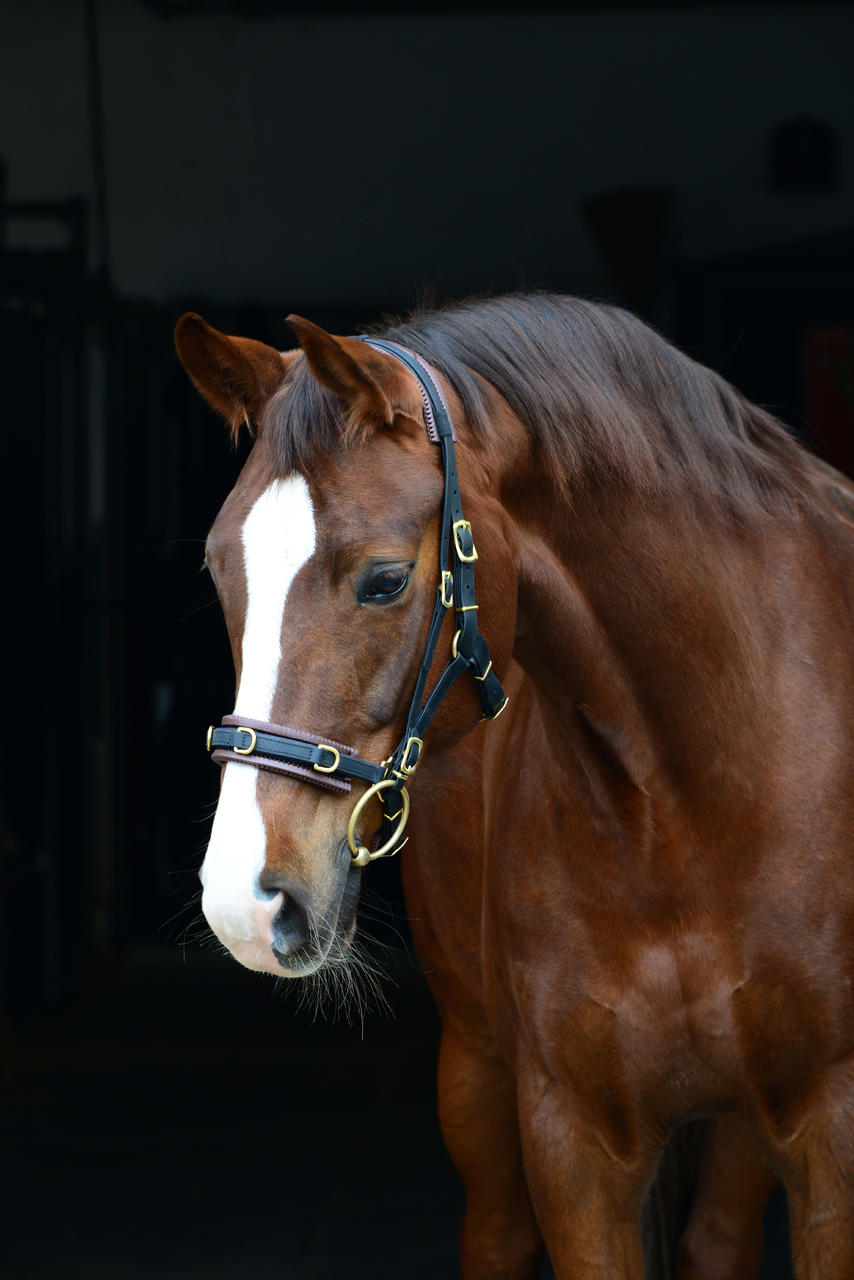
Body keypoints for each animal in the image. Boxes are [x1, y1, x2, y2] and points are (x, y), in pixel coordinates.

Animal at [174, 294, 854, 1274]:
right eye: (219, 566)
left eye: (385, 580)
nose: (244, 905)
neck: (689, 806)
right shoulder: (572, 1141)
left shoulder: (827, 1130)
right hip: (475, 1070)